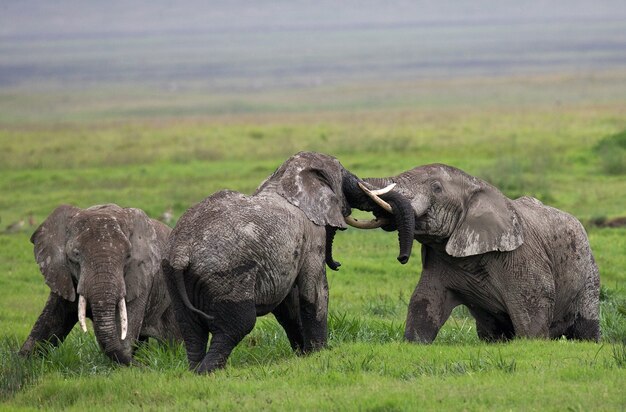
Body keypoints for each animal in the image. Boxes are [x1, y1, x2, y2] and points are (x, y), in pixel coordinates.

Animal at [19, 204, 180, 364]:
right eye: (75, 254)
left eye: (128, 256)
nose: (142, 366)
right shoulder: (63, 277)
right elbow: (46, 325)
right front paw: (24, 362)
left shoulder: (141, 279)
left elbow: (124, 336)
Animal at [161, 151, 414, 374]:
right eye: (344, 174)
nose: (402, 259)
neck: (283, 179)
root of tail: (181, 251)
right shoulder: (312, 236)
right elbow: (315, 292)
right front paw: (320, 354)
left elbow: (288, 305)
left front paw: (304, 355)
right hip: (227, 274)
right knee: (238, 324)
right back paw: (209, 372)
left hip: (174, 279)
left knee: (190, 329)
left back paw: (194, 371)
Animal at [352, 164, 600, 344]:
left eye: (436, 188)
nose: (402, 258)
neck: (479, 187)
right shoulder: (440, 260)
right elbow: (423, 302)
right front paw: (414, 343)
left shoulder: (522, 257)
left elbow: (533, 313)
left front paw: (533, 345)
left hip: (589, 272)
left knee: (587, 325)